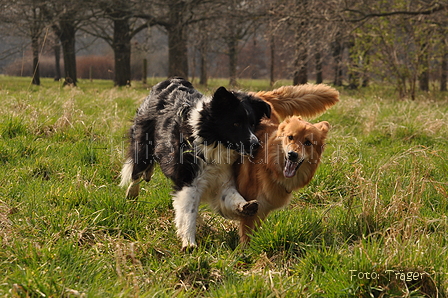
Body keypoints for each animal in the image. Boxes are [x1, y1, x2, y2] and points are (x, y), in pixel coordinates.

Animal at [119, 78, 272, 249]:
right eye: (236, 124)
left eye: (252, 124)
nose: (256, 144)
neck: (213, 142)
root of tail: (167, 81)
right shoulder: (189, 179)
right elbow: (188, 212)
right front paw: (189, 243)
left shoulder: (222, 177)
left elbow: (230, 195)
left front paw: (245, 206)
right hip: (143, 144)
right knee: (137, 171)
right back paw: (132, 193)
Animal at [233, 83, 338, 242]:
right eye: (290, 137)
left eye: (308, 142)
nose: (292, 155)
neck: (270, 168)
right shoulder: (251, 208)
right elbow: (247, 237)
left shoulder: (262, 209)